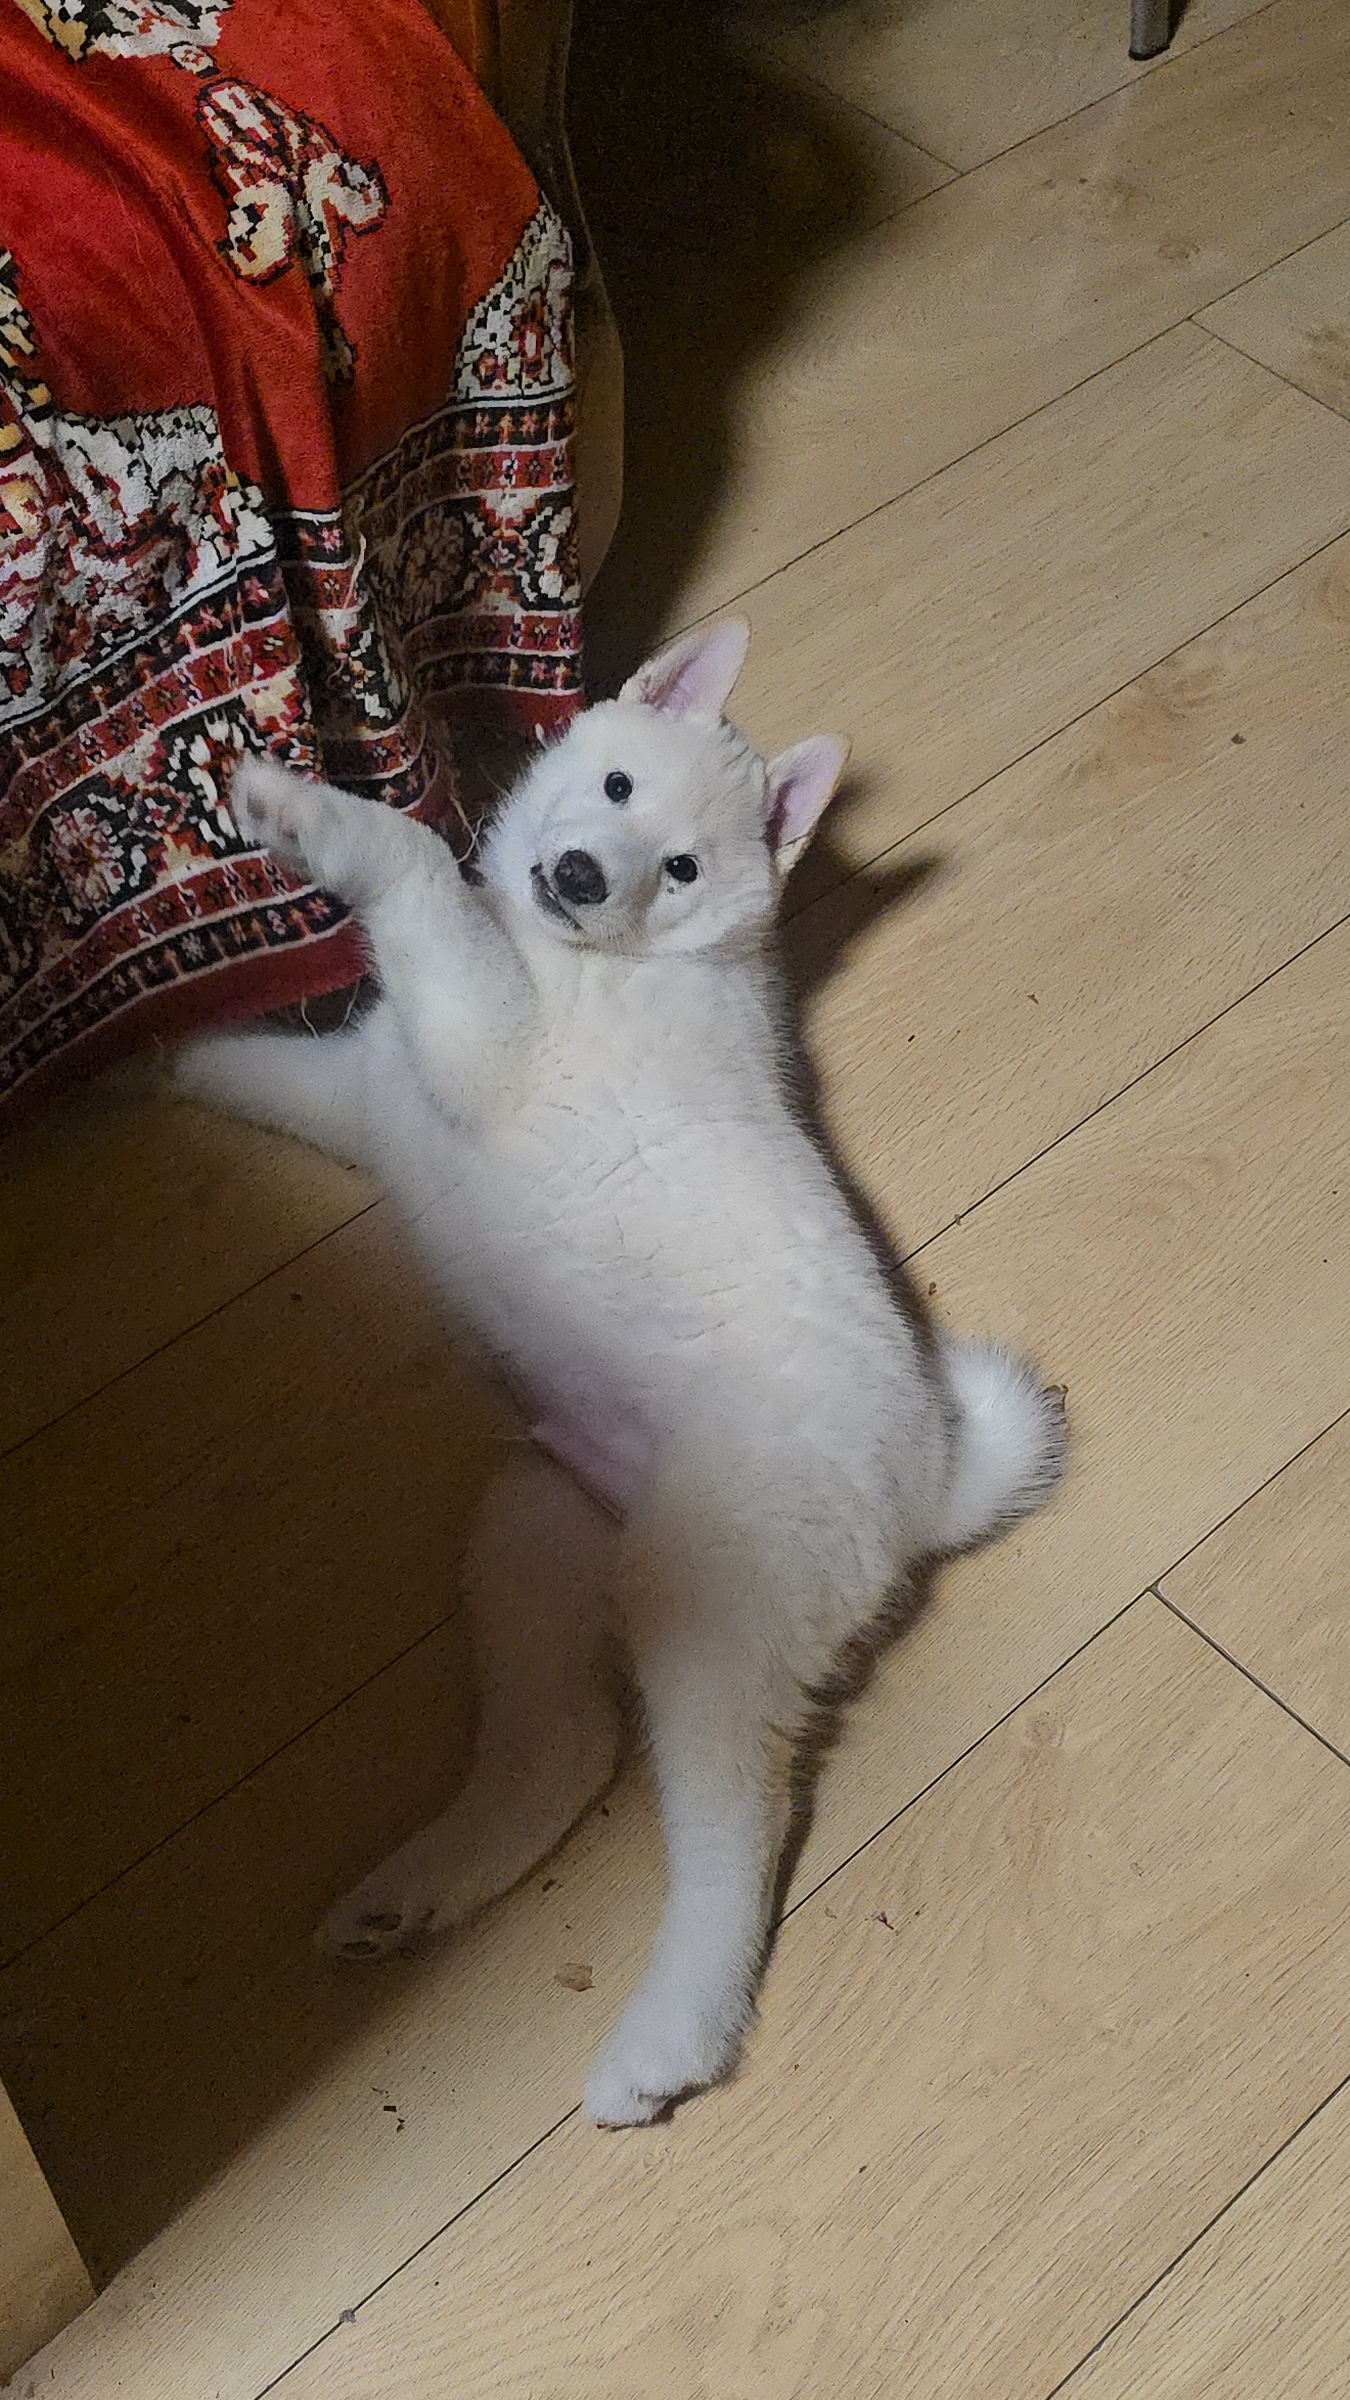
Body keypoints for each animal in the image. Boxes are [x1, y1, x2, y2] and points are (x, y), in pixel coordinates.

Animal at [177, 618, 1066, 2125]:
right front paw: (157, 1071)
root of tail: (933, 1479)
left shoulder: (479, 1043)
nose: (589, 876)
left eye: (686, 869)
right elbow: (261, 1068)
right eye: (612, 788)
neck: (591, 961)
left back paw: (667, 2042)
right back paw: (423, 1887)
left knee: (739, 1835)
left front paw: (306, 815)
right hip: (542, 1529)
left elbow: (411, 868)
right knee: (564, 1754)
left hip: (708, 1605)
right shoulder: (372, 1088)